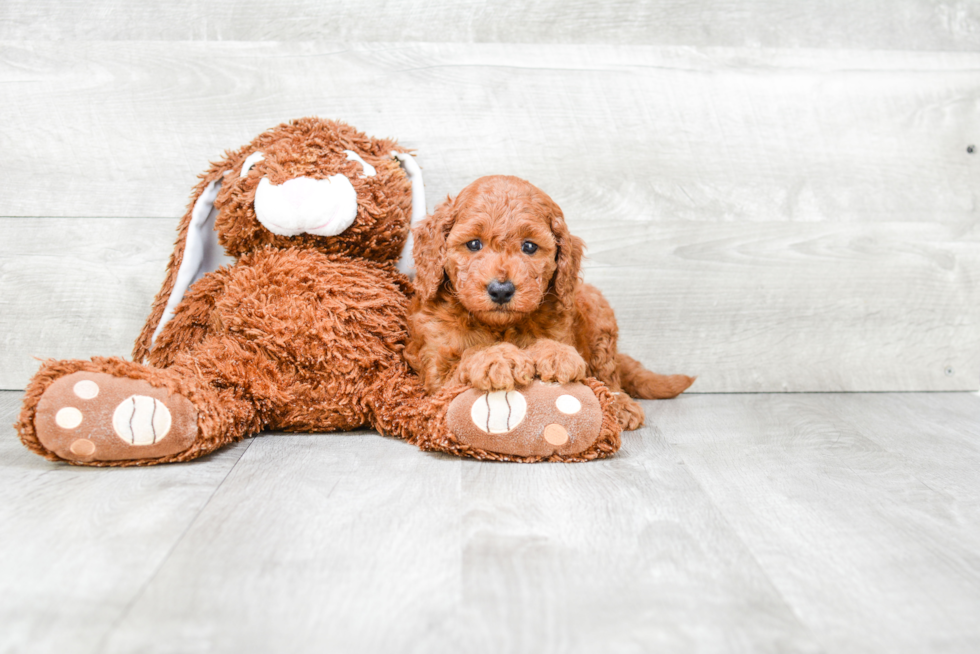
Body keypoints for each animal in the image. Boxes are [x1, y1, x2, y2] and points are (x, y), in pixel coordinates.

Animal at [408, 176, 696, 430]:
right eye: (474, 244)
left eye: (529, 247)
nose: (501, 290)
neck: (500, 326)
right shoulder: (436, 379)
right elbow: (466, 358)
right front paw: (498, 356)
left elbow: (553, 344)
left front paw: (556, 354)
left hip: (600, 314)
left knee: (608, 373)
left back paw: (620, 404)